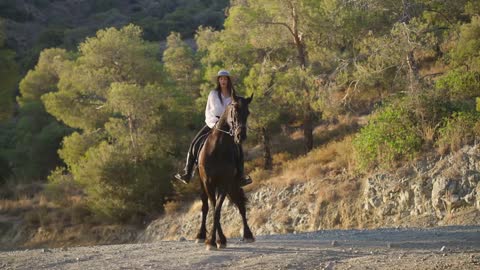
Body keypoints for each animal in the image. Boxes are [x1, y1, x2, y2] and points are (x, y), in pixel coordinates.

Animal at [195, 93, 255, 251]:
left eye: (248, 112)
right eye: (234, 110)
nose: (241, 135)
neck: (218, 149)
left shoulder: (224, 183)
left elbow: (217, 210)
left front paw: (216, 240)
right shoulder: (208, 183)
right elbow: (212, 208)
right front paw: (213, 240)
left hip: (234, 185)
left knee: (240, 205)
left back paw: (248, 235)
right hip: (204, 185)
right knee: (205, 206)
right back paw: (200, 235)